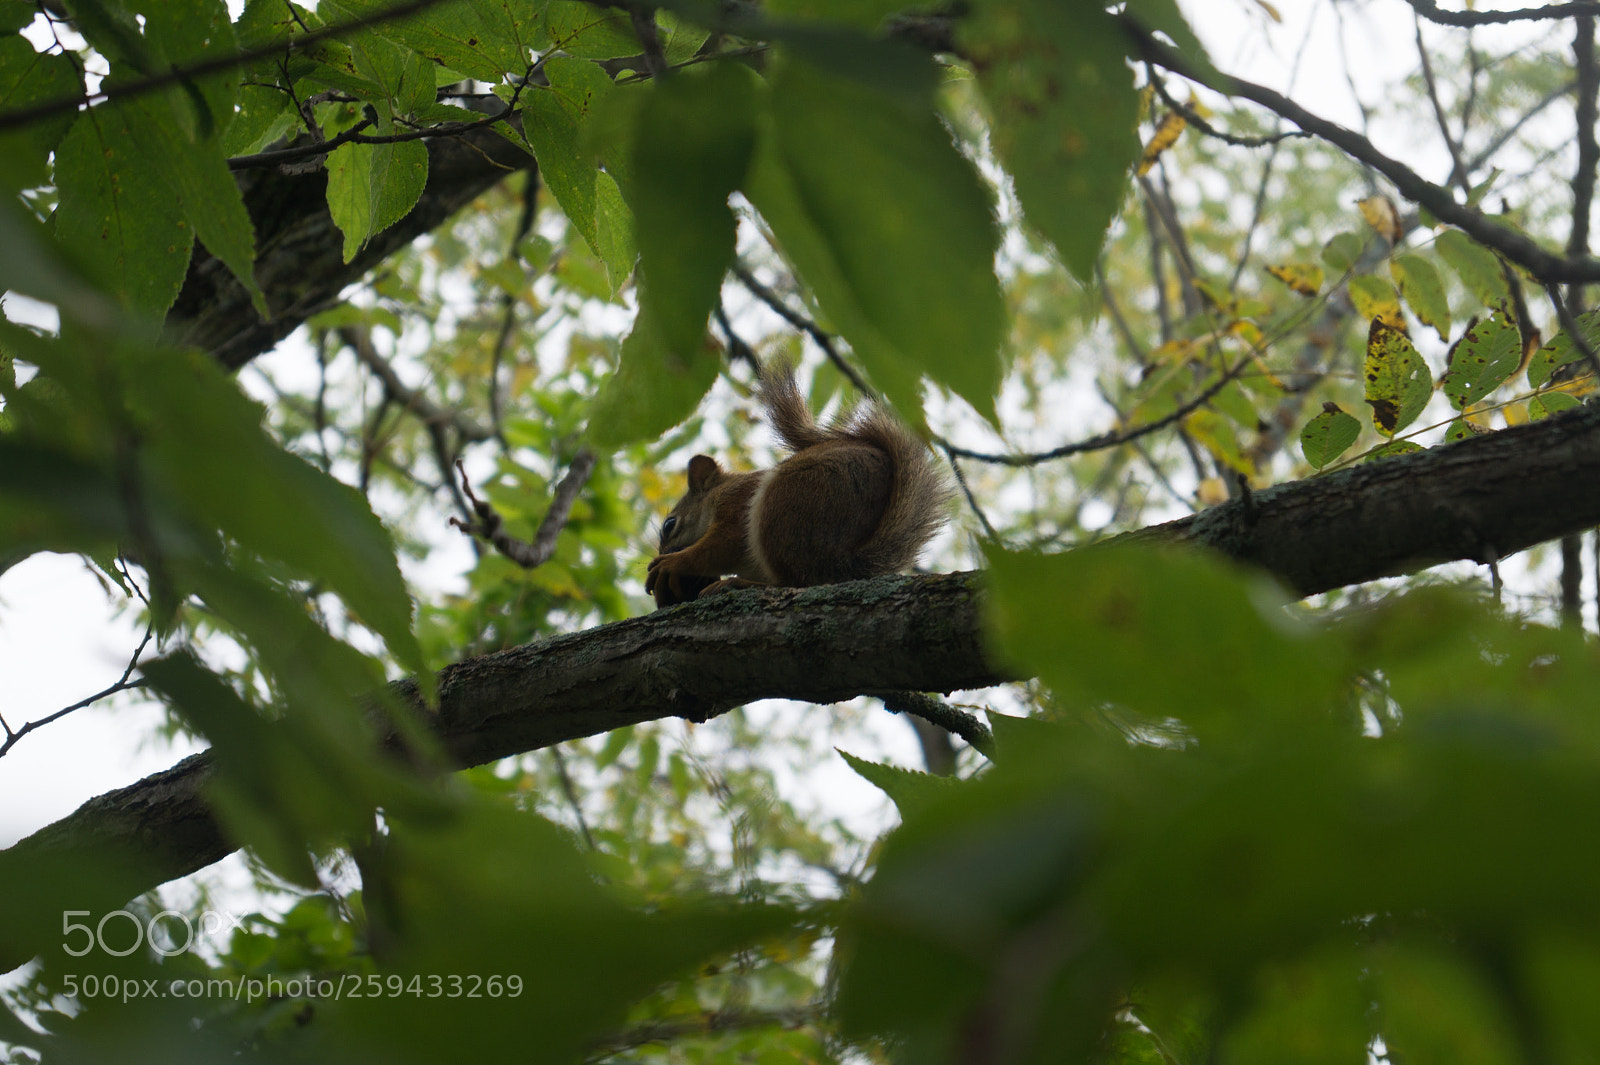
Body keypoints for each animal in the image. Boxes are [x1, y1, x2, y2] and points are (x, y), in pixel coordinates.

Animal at [645, 365, 951, 608]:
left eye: (669, 525)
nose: (663, 552)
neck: (718, 495)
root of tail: (843, 564)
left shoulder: (736, 504)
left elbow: (721, 545)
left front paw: (672, 563)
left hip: (784, 506)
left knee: (795, 581)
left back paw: (738, 584)